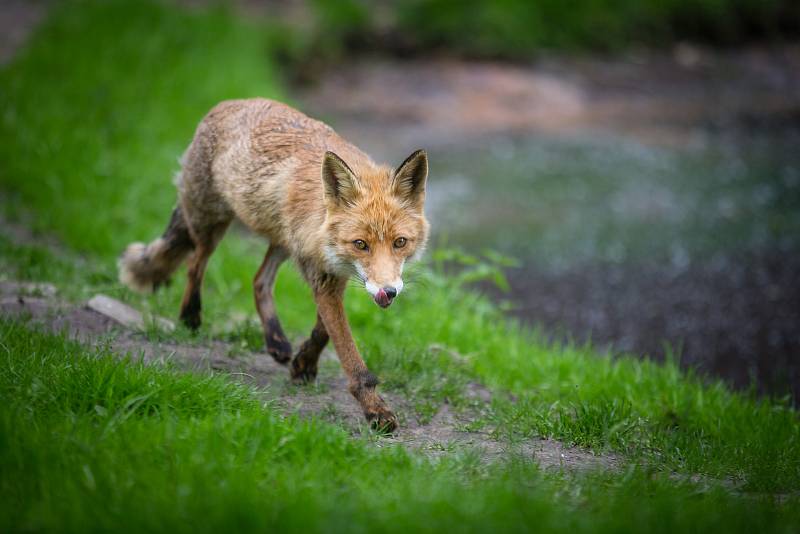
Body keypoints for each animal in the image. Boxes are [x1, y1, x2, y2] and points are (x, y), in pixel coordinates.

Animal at [118, 98, 428, 434]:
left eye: (400, 242)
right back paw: (191, 316)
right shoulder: (324, 274)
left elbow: (322, 330)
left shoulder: (336, 272)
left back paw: (276, 340)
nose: (388, 291)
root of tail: (228, 103)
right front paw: (375, 410)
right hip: (211, 225)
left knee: (258, 281)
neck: (320, 219)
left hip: (280, 242)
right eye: (361, 244)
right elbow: (348, 353)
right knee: (194, 264)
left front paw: (304, 364)